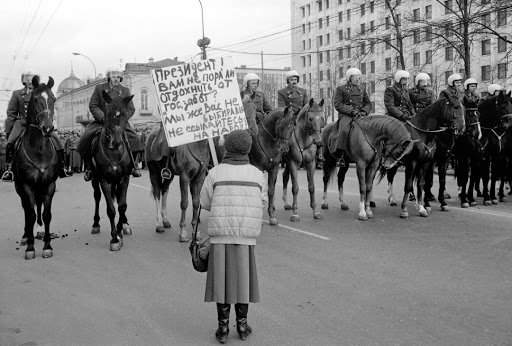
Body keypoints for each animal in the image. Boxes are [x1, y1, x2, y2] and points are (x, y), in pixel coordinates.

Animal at [12, 75, 59, 260]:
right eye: (36, 99)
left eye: (53, 99)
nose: (48, 128)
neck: (39, 149)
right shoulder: (27, 186)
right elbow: (30, 215)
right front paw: (30, 248)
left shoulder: (49, 185)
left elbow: (46, 215)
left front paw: (47, 245)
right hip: (20, 189)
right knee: (26, 210)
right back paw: (27, 236)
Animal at [89, 90, 135, 250]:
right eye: (108, 113)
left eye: (125, 114)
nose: (115, 141)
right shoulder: (104, 180)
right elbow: (111, 209)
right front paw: (114, 238)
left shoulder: (124, 178)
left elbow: (122, 206)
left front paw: (120, 231)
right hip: (95, 179)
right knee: (97, 197)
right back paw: (95, 224)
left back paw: (125, 224)